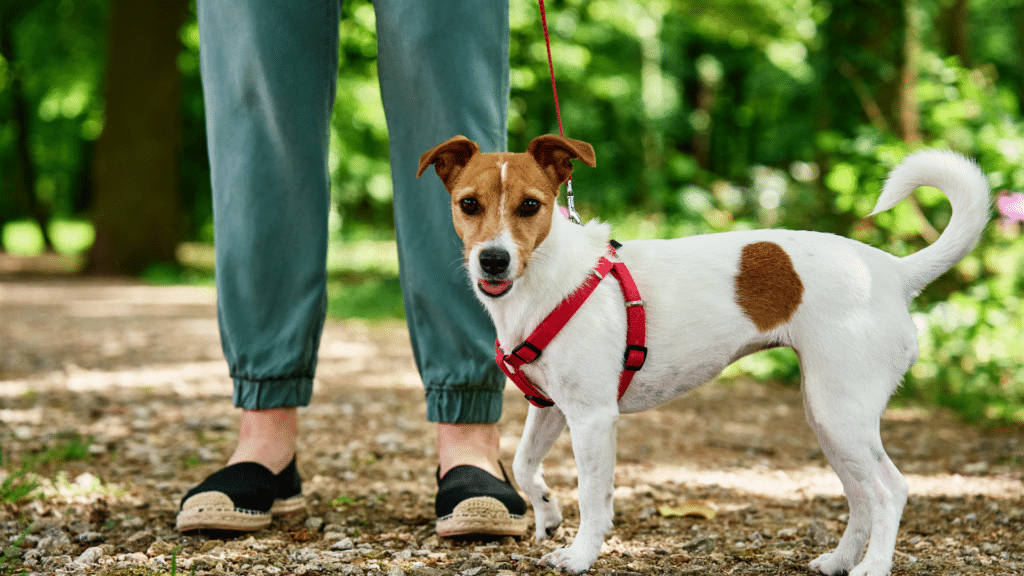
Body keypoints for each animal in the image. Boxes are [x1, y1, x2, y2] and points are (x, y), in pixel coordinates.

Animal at [415, 135, 991, 573]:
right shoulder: (552, 407)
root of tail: (893, 271)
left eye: (530, 205)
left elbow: (594, 497)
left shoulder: (593, 418)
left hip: (841, 413)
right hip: (830, 417)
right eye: (469, 204)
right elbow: (523, 462)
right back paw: (838, 561)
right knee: (862, 496)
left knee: (890, 491)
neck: (547, 281)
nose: (493, 260)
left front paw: (579, 555)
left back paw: (872, 566)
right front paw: (546, 512)